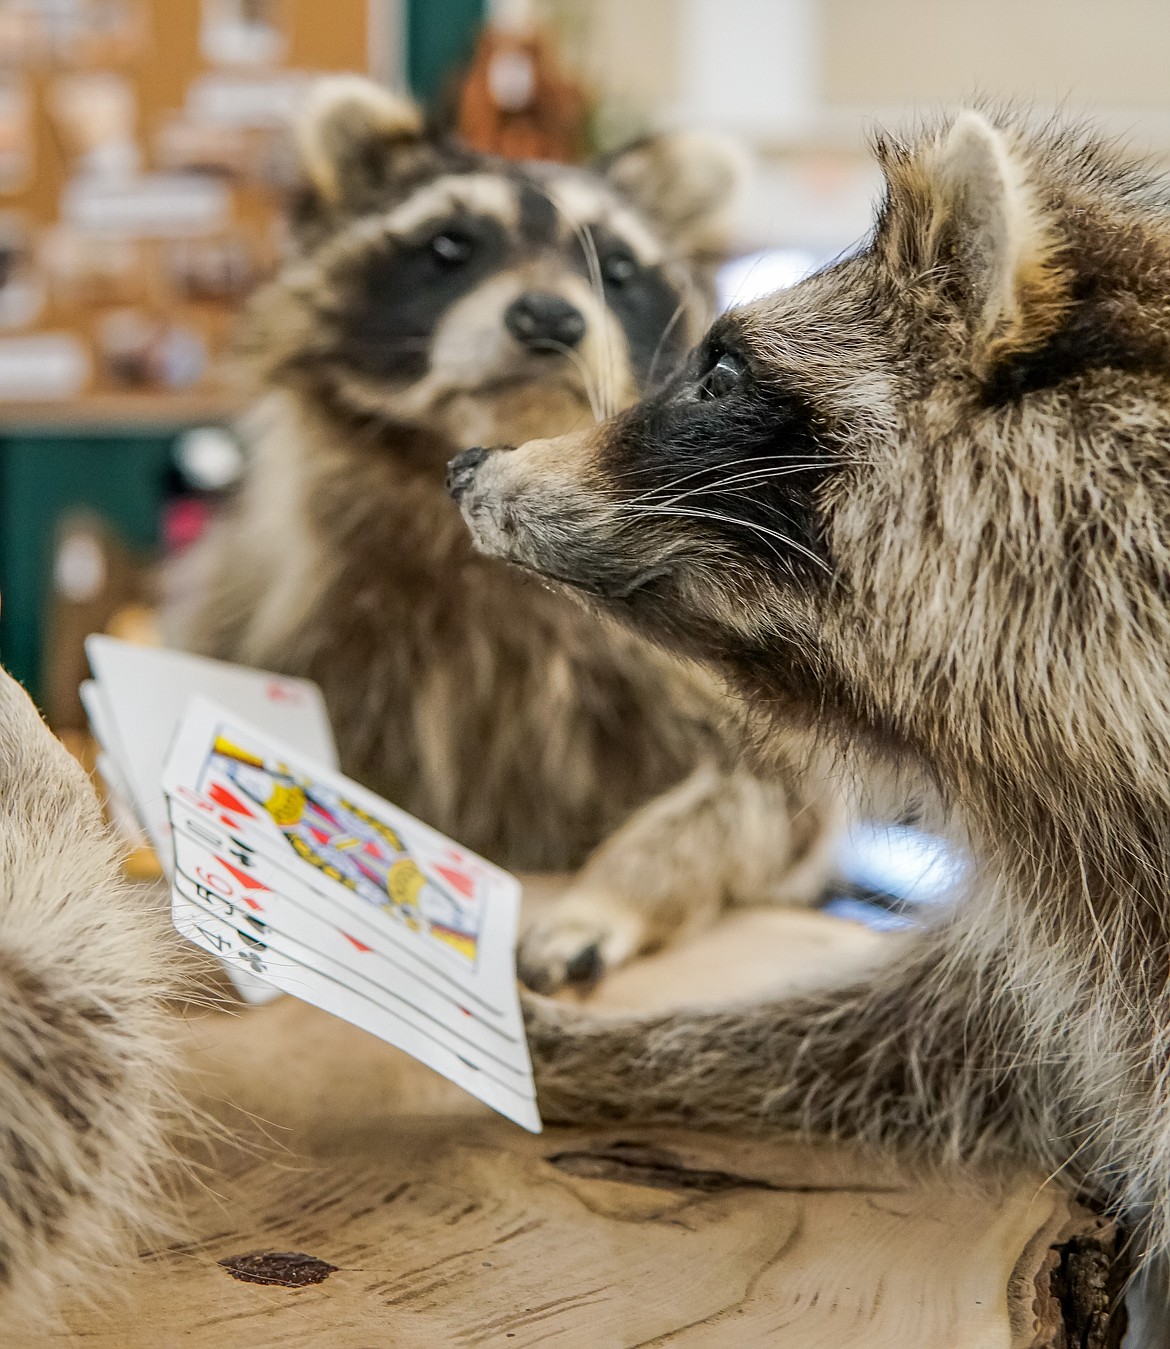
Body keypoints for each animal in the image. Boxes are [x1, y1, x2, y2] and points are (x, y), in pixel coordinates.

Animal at [174, 81, 847, 992]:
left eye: (618, 268)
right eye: (451, 245)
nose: (548, 317)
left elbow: (767, 799)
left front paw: (614, 889)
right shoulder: (278, 617)